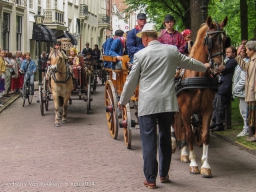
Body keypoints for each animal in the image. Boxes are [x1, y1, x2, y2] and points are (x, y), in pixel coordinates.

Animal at [174, 16, 228, 177]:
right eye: (210, 40)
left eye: (225, 40)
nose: (220, 67)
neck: (198, 75)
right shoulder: (186, 109)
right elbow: (190, 135)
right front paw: (193, 164)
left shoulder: (207, 109)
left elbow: (205, 135)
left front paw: (205, 166)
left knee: (182, 129)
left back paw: (184, 153)